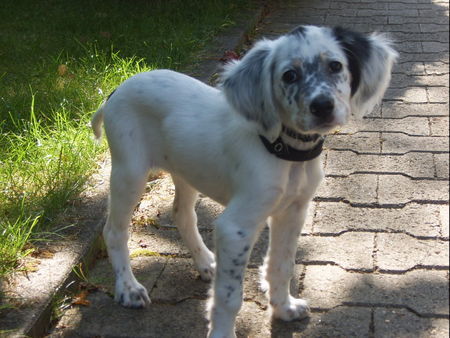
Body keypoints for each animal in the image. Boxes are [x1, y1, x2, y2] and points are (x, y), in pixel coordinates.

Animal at [91, 25, 398, 336]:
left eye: (335, 66)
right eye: (289, 75)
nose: (322, 106)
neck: (284, 152)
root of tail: (116, 91)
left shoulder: (293, 212)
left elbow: (281, 265)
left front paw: (283, 308)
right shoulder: (236, 228)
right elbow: (229, 296)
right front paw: (224, 332)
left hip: (187, 170)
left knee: (182, 214)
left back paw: (205, 262)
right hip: (130, 172)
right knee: (114, 231)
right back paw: (128, 288)